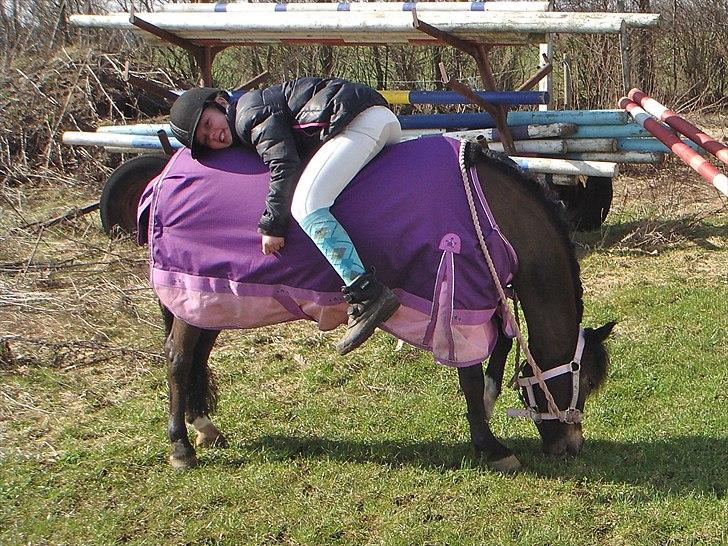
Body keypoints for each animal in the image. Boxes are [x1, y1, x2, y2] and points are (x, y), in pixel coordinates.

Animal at [139, 135, 616, 468]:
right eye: (587, 381)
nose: (571, 445)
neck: (488, 210)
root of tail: (165, 174)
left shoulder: (483, 293)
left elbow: (499, 350)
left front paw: (486, 409)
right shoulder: (459, 298)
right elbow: (470, 372)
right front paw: (490, 444)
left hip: (207, 299)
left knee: (196, 356)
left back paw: (204, 426)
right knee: (178, 358)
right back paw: (181, 447)